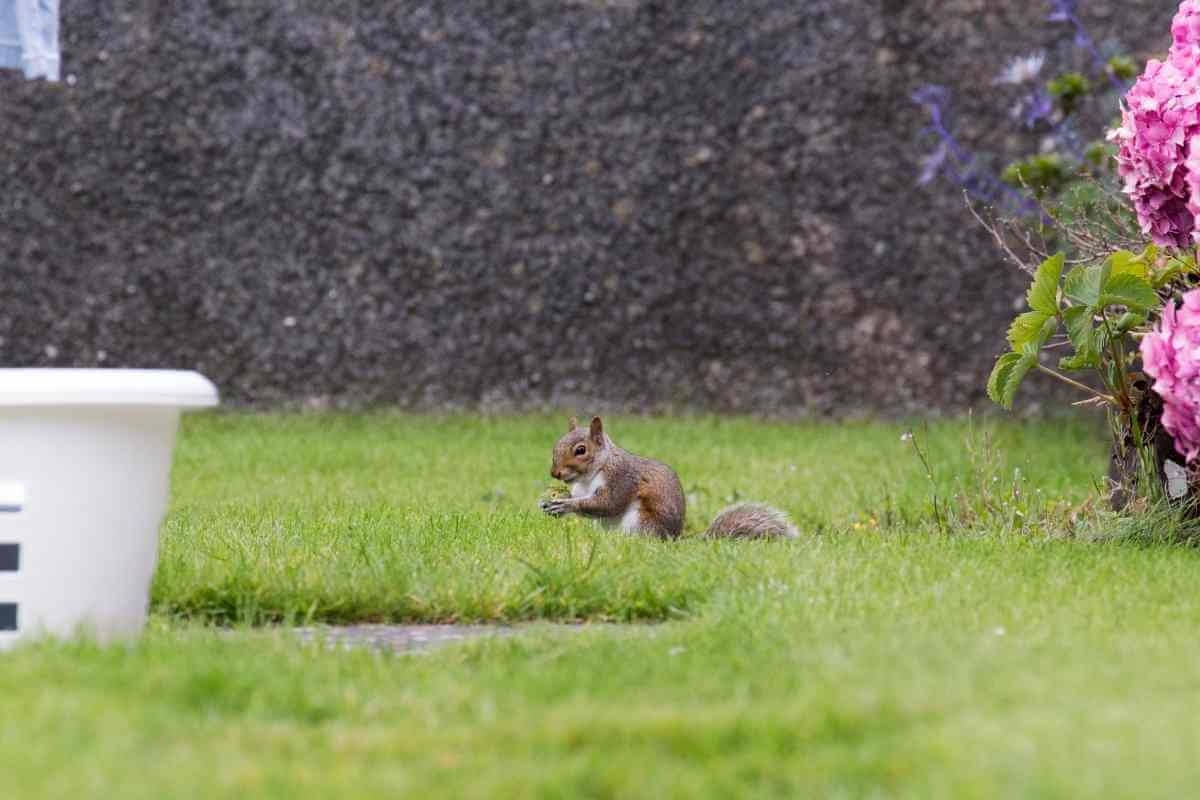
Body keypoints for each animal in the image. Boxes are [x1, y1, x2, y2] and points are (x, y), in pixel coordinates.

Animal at [542, 417, 801, 542]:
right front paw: (551, 502)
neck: (591, 474)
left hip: (642, 522)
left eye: (581, 450)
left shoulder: (622, 479)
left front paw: (565, 505)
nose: (555, 473)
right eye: (557, 443)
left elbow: (608, 504)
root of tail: (673, 540)